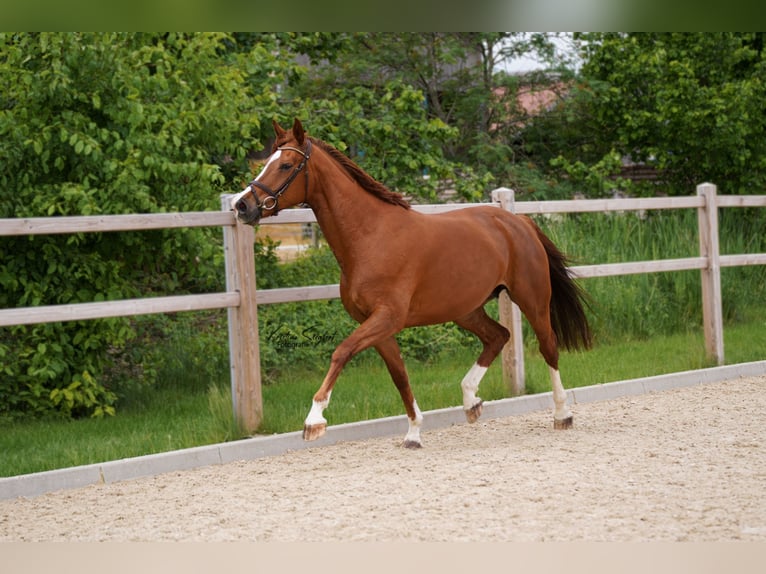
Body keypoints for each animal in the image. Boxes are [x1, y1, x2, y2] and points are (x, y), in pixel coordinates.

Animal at [231, 118, 596, 450]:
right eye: (265, 163)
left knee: (548, 346)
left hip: (532, 299)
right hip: (465, 309)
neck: (370, 237)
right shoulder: (378, 326)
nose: (242, 205)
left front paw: (314, 421)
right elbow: (400, 377)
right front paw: (413, 433)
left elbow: (341, 351)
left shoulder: (386, 318)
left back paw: (562, 415)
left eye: (286, 165)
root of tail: (517, 221)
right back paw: (471, 401)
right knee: (499, 336)